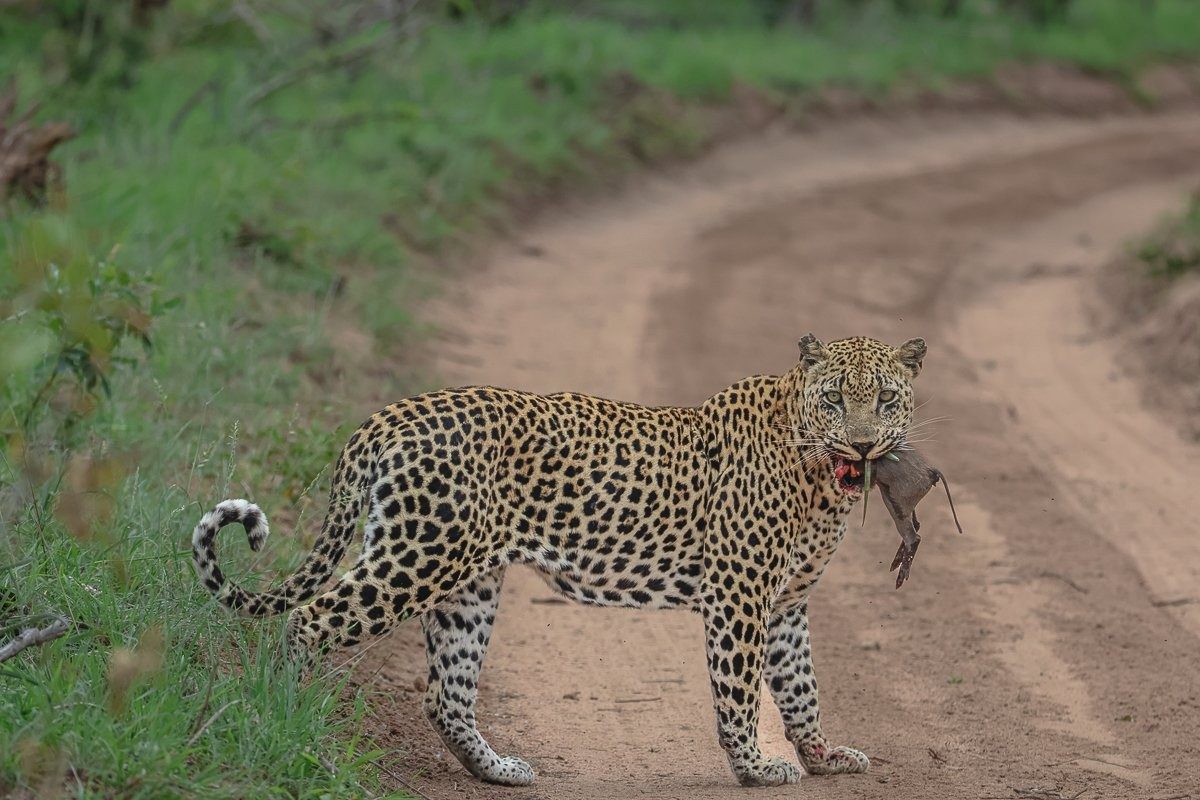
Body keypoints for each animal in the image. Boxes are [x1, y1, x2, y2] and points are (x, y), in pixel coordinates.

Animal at [192, 333, 928, 788]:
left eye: (886, 398)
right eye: (835, 399)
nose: (865, 445)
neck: (817, 474)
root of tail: (389, 416)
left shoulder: (787, 602)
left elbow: (800, 687)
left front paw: (824, 756)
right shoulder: (739, 594)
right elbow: (741, 690)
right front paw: (754, 767)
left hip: (468, 581)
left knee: (445, 691)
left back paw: (496, 771)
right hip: (416, 555)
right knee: (309, 621)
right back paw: (283, 717)